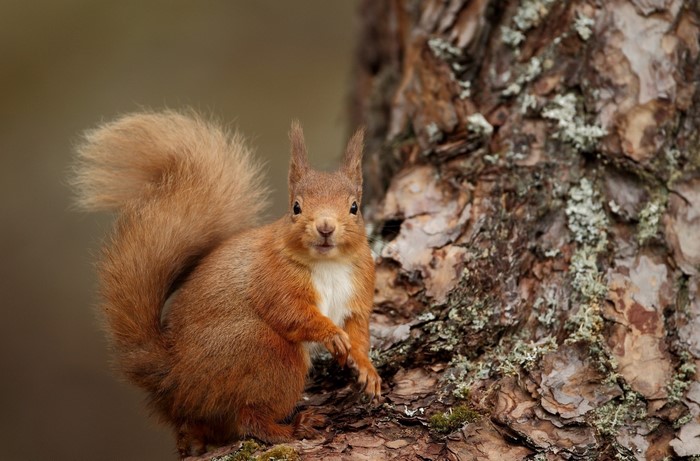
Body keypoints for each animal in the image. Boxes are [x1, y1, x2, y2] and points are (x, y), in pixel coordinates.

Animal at [73, 111, 381, 456]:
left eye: (354, 207)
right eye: (296, 207)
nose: (326, 227)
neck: (328, 265)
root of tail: (173, 380)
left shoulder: (358, 291)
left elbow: (358, 331)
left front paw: (366, 369)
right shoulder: (271, 280)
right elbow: (292, 314)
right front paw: (332, 335)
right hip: (265, 352)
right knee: (248, 417)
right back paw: (292, 427)